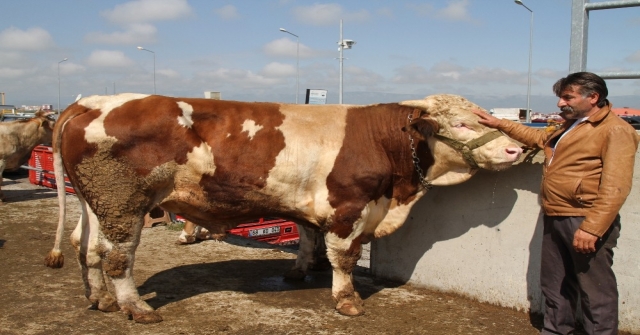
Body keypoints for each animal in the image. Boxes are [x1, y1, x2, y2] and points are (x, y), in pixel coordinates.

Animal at [45, 94, 524, 322]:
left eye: (484, 117)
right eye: (461, 123)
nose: (516, 149)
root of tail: (88, 102)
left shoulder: (312, 202)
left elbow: (309, 236)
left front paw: (300, 270)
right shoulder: (349, 206)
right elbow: (344, 257)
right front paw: (347, 300)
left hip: (97, 202)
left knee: (86, 247)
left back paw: (99, 299)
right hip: (124, 203)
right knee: (117, 256)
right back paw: (135, 308)